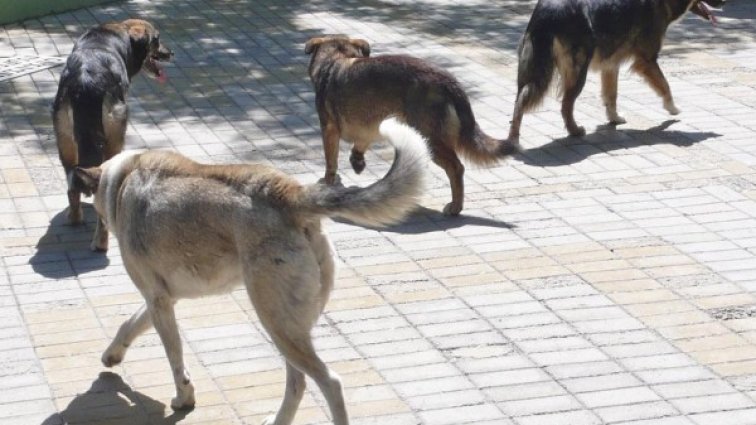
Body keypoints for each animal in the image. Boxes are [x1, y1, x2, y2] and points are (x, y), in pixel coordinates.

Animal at [53, 19, 173, 250]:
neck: (119, 33)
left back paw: (74, 217)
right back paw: (101, 242)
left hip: (64, 141)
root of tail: (85, 83)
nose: (170, 53)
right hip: (114, 139)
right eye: (157, 39)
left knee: (72, 184)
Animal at [304, 34, 516, 215]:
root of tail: (449, 82)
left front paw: (327, 184)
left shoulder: (329, 129)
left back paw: (456, 206)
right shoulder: (370, 125)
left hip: (430, 141)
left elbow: (331, 162)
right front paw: (357, 161)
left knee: (456, 168)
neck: (335, 59)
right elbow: (360, 145)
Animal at [508, 0, 728, 142]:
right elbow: (665, 84)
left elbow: (611, 95)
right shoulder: (646, 60)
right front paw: (671, 107)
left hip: (529, 71)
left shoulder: (611, 64)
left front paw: (614, 119)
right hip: (578, 71)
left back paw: (513, 138)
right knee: (566, 105)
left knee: (519, 102)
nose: (725, 2)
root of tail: (547, 12)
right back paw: (575, 131)